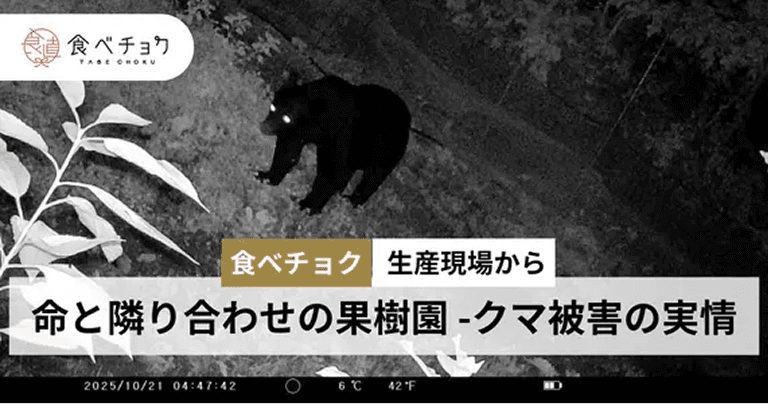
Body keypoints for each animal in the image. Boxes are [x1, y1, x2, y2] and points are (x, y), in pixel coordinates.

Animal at [256, 73, 411, 215]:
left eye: (287, 117)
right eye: (273, 107)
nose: (264, 127)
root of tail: (406, 112)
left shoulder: (341, 137)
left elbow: (331, 172)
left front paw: (308, 205)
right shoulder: (297, 132)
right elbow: (287, 153)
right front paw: (265, 176)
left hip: (385, 150)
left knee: (373, 177)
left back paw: (351, 200)